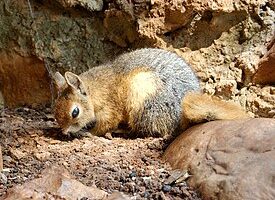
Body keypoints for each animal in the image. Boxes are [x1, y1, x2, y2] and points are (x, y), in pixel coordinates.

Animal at [52, 48, 250, 138]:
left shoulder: (110, 109)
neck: (95, 91)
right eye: (55, 109)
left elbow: (104, 125)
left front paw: (90, 133)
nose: (63, 132)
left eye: (75, 112)